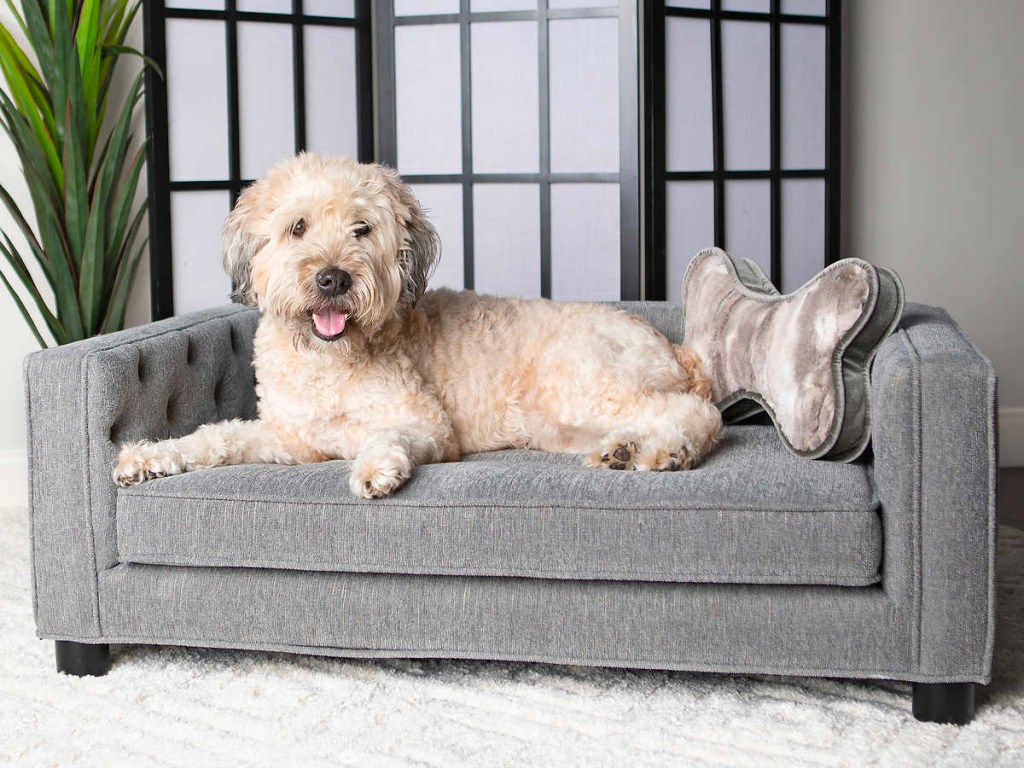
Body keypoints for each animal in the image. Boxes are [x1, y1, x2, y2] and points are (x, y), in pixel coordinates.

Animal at [116, 153, 724, 499]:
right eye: (297, 227)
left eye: (362, 229)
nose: (333, 279)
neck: (330, 363)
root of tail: (675, 349)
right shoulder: (293, 440)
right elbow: (216, 436)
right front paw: (147, 457)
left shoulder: (428, 424)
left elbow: (389, 435)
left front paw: (376, 468)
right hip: (557, 422)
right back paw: (622, 449)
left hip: (577, 384)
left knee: (700, 414)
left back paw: (668, 451)